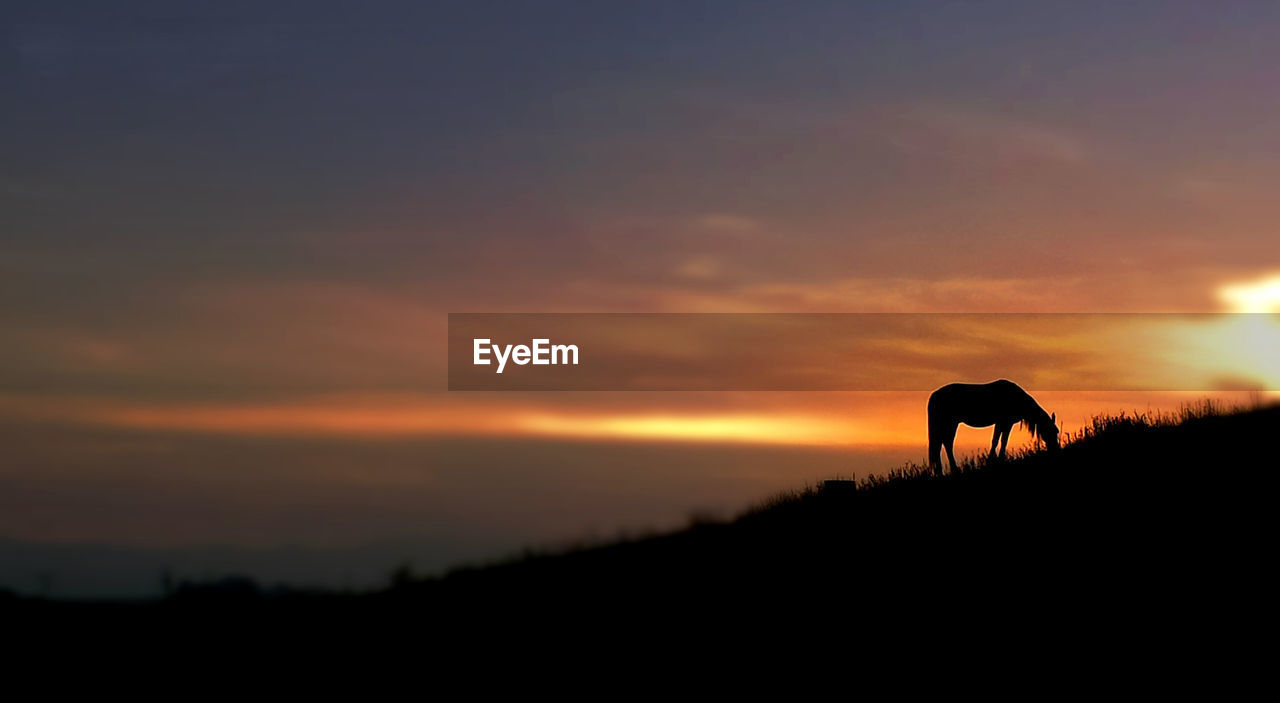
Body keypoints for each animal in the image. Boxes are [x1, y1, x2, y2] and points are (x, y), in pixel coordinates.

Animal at [931, 381, 1059, 473]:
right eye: (1054, 432)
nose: (1055, 450)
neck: (1017, 398)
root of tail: (935, 394)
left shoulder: (1004, 423)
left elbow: (1000, 440)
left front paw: (996, 459)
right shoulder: (1004, 422)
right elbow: (999, 441)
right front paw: (994, 459)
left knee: (941, 444)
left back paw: (940, 471)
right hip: (950, 423)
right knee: (946, 443)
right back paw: (952, 469)